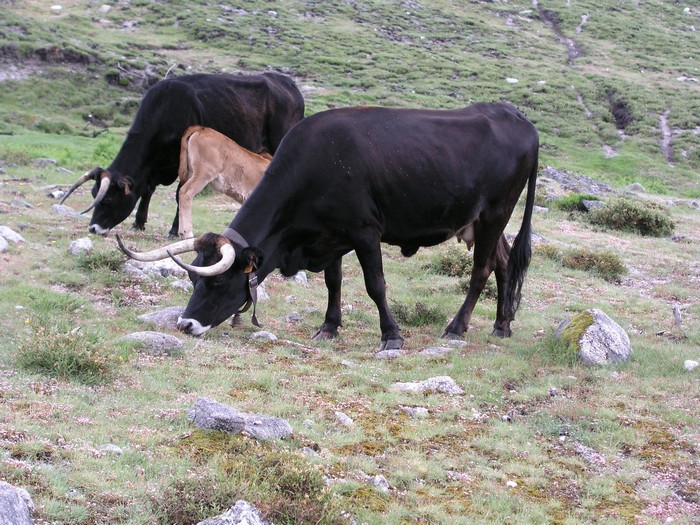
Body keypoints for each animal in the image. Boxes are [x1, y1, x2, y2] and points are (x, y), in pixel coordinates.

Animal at [117, 102, 540, 348]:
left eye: (218, 282)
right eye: (192, 279)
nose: (185, 324)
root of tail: (518, 119)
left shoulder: (365, 232)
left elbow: (375, 285)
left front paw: (391, 336)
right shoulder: (331, 235)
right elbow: (333, 283)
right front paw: (329, 326)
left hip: (495, 214)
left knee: (482, 270)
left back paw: (456, 327)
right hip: (484, 222)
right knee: (503, 263)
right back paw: (502, 324)